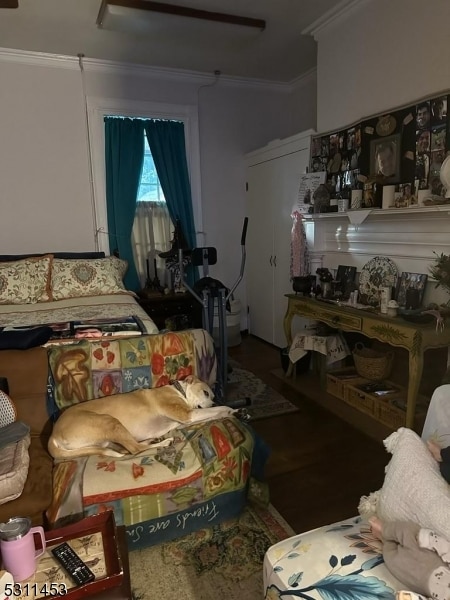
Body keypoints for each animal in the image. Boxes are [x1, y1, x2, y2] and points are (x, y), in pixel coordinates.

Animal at [48, 376, 236, 460]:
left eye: (212, 396)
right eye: (206, 393)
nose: (213, 402)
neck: (179, 391)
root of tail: (53, 435)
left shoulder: (184, 421)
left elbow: (214, 413)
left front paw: (225, 412)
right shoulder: (187, 415)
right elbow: (219, 409)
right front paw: (232, 410)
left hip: (110, 438)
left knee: (129, 448)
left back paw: (152, 440)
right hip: (109, 421)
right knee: (135, 449)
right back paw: (164, 442)